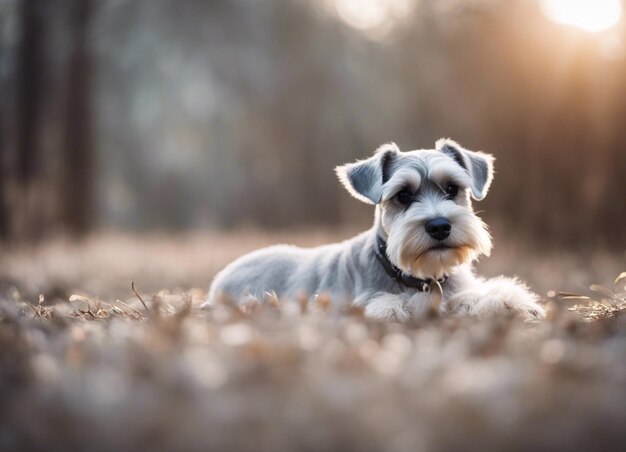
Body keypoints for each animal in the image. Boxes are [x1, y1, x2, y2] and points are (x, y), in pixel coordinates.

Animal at [205, 139, 540, 320]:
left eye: (451, 188)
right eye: (403, 195)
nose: (439, 226)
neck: (419, 277)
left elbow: (474, 295)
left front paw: (510, 299)